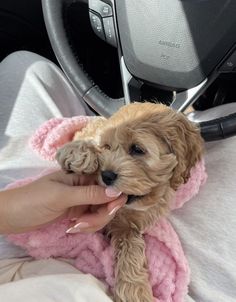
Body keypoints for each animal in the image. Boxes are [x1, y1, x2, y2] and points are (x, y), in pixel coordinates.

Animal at [55, 102, 203, 302]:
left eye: (137, 149)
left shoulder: (129, 225)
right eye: (107, 146)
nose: (106, 175)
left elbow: (130, 250)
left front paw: (135, 291)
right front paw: (79, 154)